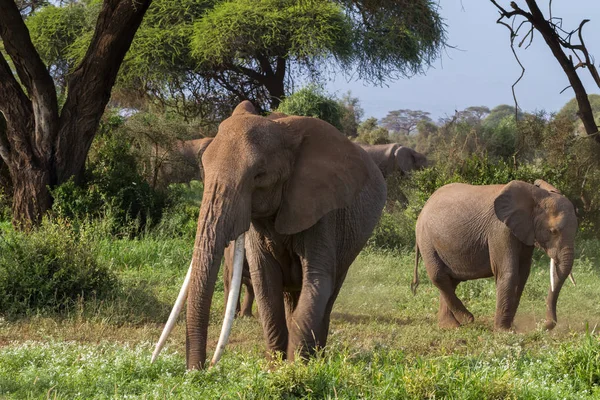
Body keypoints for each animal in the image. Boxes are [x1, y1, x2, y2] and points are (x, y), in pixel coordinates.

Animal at [152, 100, 386, 368]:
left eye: (259, 175)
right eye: (203, 170)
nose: (200, 370)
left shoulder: (324, 213)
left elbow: (317, 282)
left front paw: (297, 369)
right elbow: (265, 283)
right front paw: (276, 367)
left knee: (328, 293)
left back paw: (318, 357)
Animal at [414, 180, 580, 332]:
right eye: (553, 231)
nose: (544, 325)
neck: (536, 195)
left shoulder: (524, 231)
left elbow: (522, 274)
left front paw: (510, 328)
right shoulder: (500, 229)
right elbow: (508, 272)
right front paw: (504, 331)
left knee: (451, 281)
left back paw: (449, 326)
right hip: (426, 239)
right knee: (439, 276)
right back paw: (466, 320)